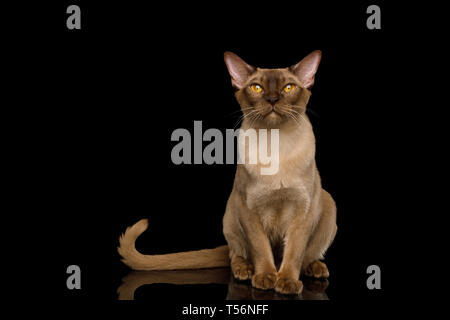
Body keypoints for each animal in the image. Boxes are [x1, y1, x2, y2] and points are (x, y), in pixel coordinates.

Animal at [118, 50, 336, 296]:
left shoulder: (303, 211)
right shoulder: (248, 207)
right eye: (256, 88)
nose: (272, 99)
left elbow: (294, 252)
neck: (276, 143)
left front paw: (287, 281)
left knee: (305, 255)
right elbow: (260, 248)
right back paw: (245, 270)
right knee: (235, 254)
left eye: (288, 88)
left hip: (328, 202)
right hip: (231, 210)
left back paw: (316, 268)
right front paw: (265, 277)